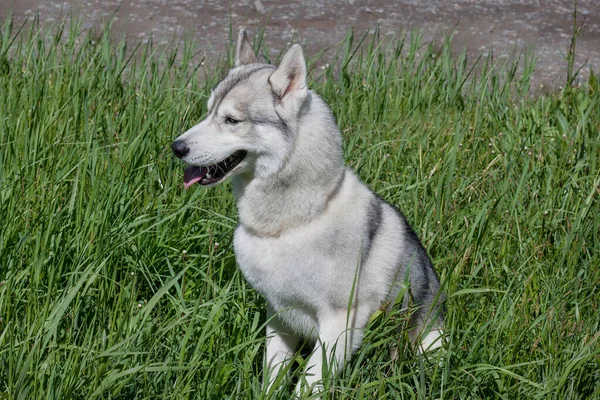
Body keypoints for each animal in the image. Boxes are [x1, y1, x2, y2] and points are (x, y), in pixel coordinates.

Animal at [171, 29, 442, 396]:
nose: (176, 148)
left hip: (429, 343)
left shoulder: (339, 324)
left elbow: (308, 386)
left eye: (231, 120)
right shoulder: (279, 316)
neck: (297, 221)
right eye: (208, 112)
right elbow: (272, 376)